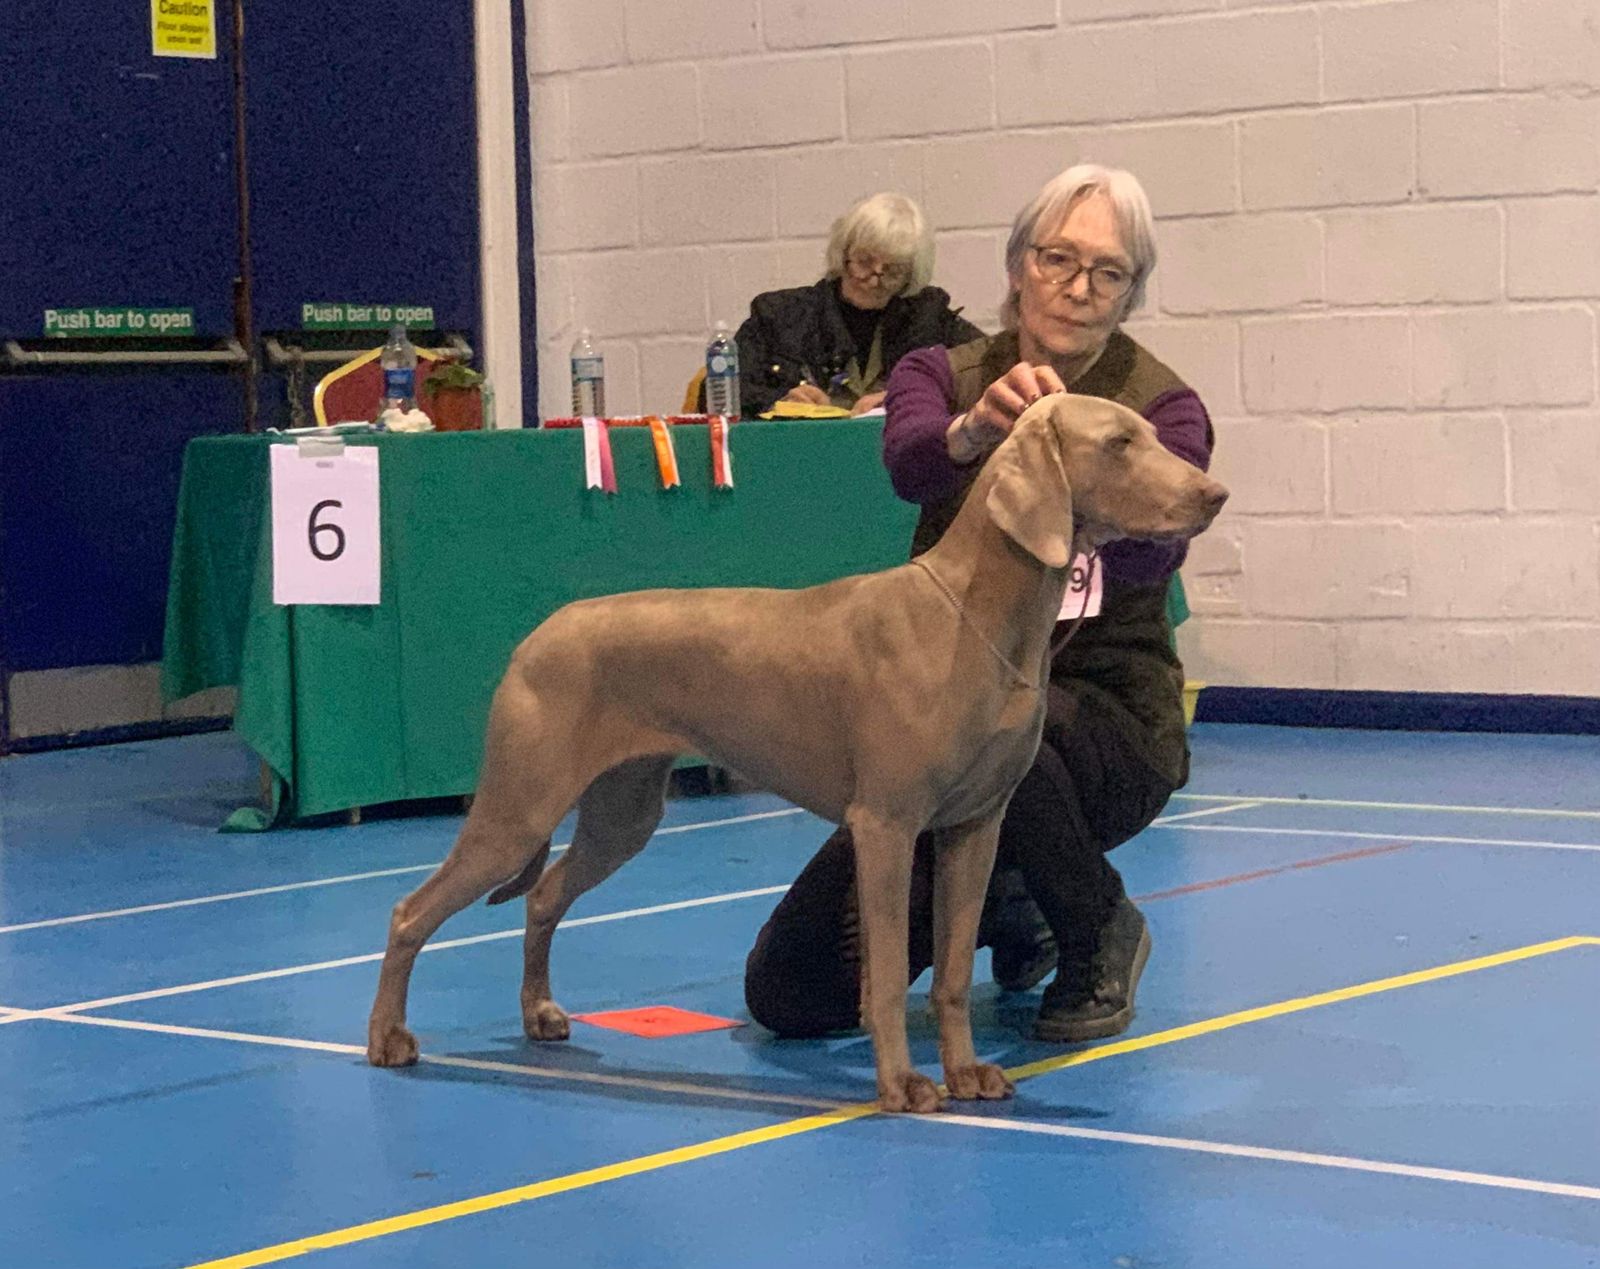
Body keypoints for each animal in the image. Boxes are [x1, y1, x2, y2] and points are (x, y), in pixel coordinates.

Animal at [366, 393, 1228, 1113]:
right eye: (1118, 442)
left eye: (1154, 434)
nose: (1214, 493)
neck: (976, 616)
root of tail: (537, 634)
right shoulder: (886, 825)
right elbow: (887, 972)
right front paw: (902, 1083)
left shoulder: (976, 826)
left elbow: (950, 971)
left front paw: (965, 1072)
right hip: (520, 803)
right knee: (411, 910)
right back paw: (386, 1039)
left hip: (623, 810)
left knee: (543, 895)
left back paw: (540, 1012)